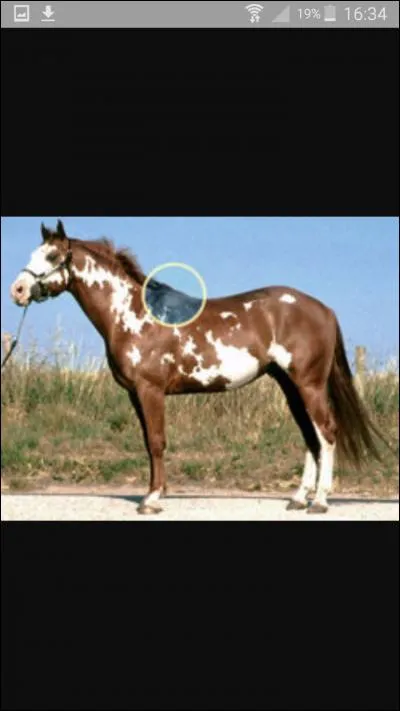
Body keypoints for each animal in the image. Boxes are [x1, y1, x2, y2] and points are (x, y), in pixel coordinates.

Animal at [10, 220, 389, 514]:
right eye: (33, 254)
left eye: (52, 256)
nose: (18, 290)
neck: (132, 313)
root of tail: (323, 309)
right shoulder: (136, 394)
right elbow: (148, 441)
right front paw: (154, 493)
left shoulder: (150, 391)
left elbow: (157, 442)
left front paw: (152, 499)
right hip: (290, 386)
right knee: (310, 436)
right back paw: (298, 499)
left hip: (309, 384)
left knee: (326, 432)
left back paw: (320, 501)